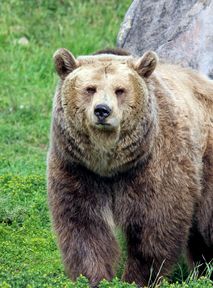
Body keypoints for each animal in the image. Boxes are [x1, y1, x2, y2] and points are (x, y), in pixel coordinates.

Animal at [47, 46, 213, 286]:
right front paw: (94, 277)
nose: (102, 110)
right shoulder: (77, 168)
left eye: (120, 90)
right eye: (90, 88)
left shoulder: (154, 163)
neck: (109, 165)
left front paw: (137, 278)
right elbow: (83, 225)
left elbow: (154, 225)